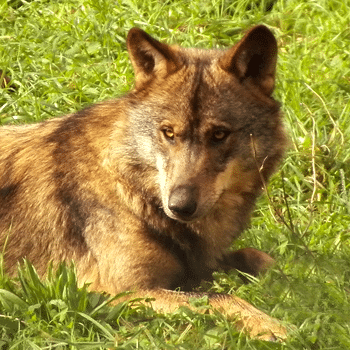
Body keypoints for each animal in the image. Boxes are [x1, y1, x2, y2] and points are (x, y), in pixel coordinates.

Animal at [0, 26, 288, 340]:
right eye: (168, 133)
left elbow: (261, 258)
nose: (180, 206)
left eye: (219, 135)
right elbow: (220, 298)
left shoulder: (199, 264)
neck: (133, 194)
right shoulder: (124, 292)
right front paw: (271, 325)